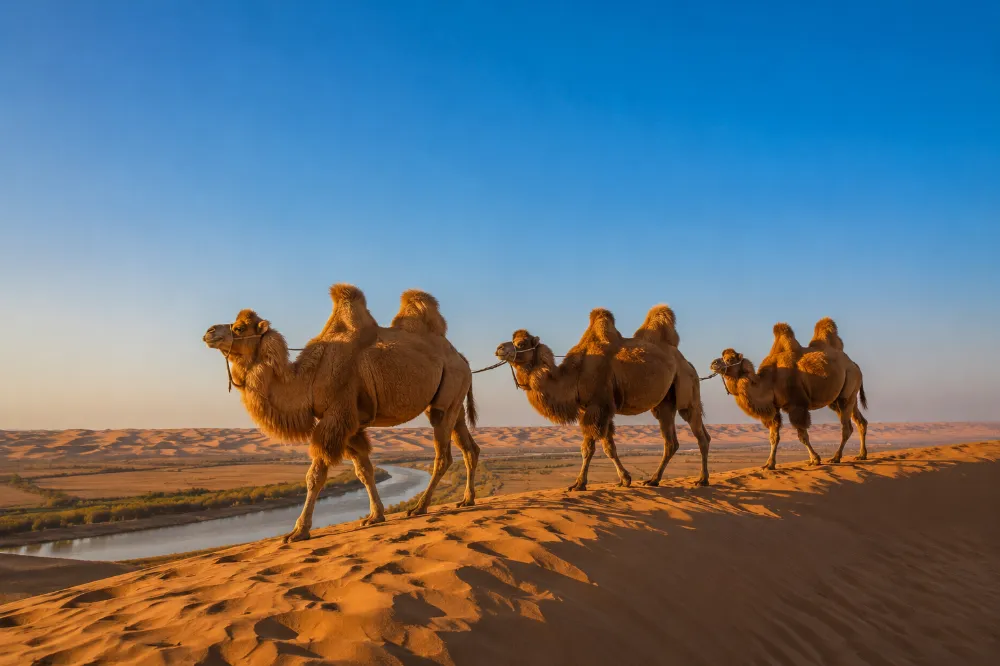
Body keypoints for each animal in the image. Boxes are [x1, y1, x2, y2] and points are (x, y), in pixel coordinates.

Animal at [203, 285, 479, 543]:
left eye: (240, 328)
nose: (209, 332)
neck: (310, 377)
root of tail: (463, 359)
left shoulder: (337, 415)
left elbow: (315, 476)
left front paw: (298, 531)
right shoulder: (351, 425)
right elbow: (364, 471)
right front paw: (375, 516)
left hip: (447, 394)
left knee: (443, 454)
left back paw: (420, 507)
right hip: (454, 400)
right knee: (469, 448)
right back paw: (467, 500)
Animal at [495, 306, 711, 491]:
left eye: (521, 343)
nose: (499, 349)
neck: (574, 374)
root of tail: (687, 363)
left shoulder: (598, 406)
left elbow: (589, 448)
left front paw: (579, 484)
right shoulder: (594, 408)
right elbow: (608, 447)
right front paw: (625, 479)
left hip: (687, 389)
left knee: (700, 434)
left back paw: (702, 479)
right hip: (665, 402)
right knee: (671, 441)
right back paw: (654, 480)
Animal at [709, 318, 868, 470]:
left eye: (730, 359)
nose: (713, 363)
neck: (769, 382)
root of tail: (854, 364)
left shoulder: (796, 405)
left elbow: (802, 436)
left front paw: (815, 459)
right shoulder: (774, 408)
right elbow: (774, 437)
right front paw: (769, 464)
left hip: (847, 387)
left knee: (847, 427)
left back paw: (836, 457)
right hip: (844, 396)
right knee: (860, 421)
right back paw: (861, 455)